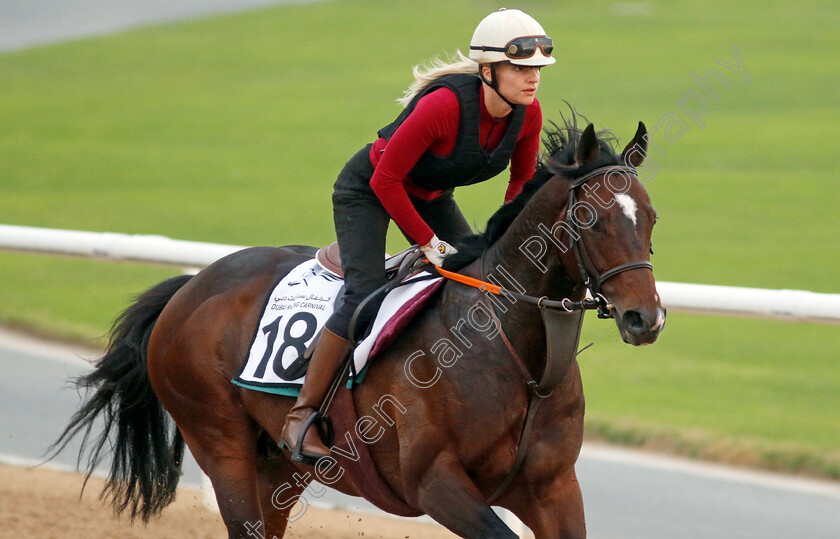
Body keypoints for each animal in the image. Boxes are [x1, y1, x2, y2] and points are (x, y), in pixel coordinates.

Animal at [52, 116, 668, 536]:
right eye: (591, 218)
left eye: (651, 216)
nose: (646, 317)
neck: (515, 353)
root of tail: (191, 287)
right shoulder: (436, 484)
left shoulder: (552, 487)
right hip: (221, 444)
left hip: (277, 466)